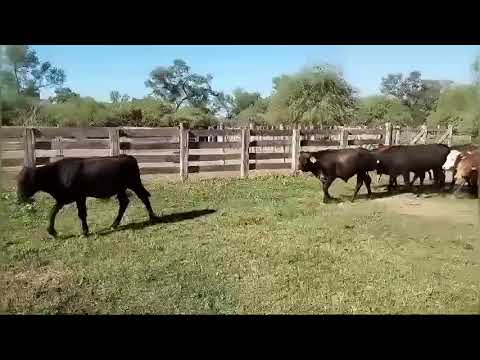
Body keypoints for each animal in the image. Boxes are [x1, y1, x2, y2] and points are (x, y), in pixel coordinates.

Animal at [16, 154, 159, 236]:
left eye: (23, 182)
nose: (19, 199)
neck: (56, 174)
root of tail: (128, 157)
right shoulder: (66, 198)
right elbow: (54, 211)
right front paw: (52, 231)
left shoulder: (76, 197)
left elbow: (79, 213)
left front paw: (84, 231)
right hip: (121, 188)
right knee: (124, 202)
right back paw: (114, 224)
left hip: (134, 183)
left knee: (143, 197)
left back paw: (153, 217)